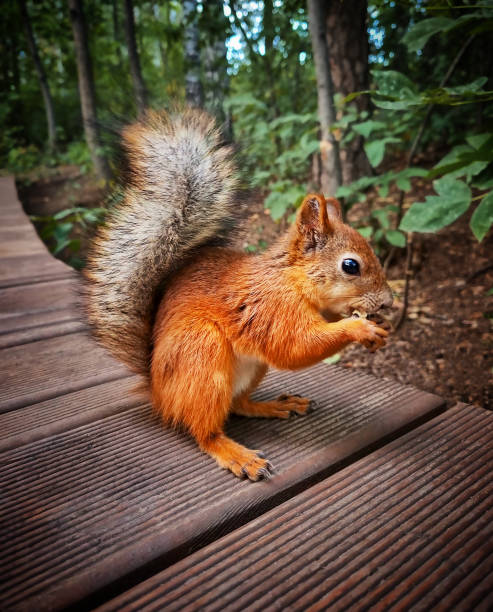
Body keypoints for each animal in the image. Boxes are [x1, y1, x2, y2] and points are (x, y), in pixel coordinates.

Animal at [84, 110, 392, 482]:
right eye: (350, 265)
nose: (389, 301)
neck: (290, 279)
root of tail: (158, 393)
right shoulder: (272, 308)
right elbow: (295, 346)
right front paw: (359, 328)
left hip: (251, 369)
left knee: (238, 405)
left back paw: (274, 405)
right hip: (202, 352)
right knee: (205, 430)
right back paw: (236, 454)